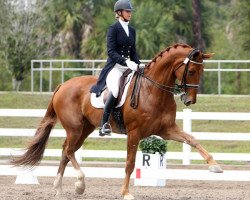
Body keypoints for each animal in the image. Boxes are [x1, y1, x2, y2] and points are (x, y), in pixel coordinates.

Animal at [11, 43, 223, 200]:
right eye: (191, 71)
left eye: (201, 71)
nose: (189, 101)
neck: (152, 91)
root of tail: (63, 85)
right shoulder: (135, 133)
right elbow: (130, 163)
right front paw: (126, 193)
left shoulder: (167, 129)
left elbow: (192, 140)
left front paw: (214, 166)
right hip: (75, 128)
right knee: (68, 150)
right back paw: (80, 184)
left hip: (85, 129)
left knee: (66, 151)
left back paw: (59, 188)